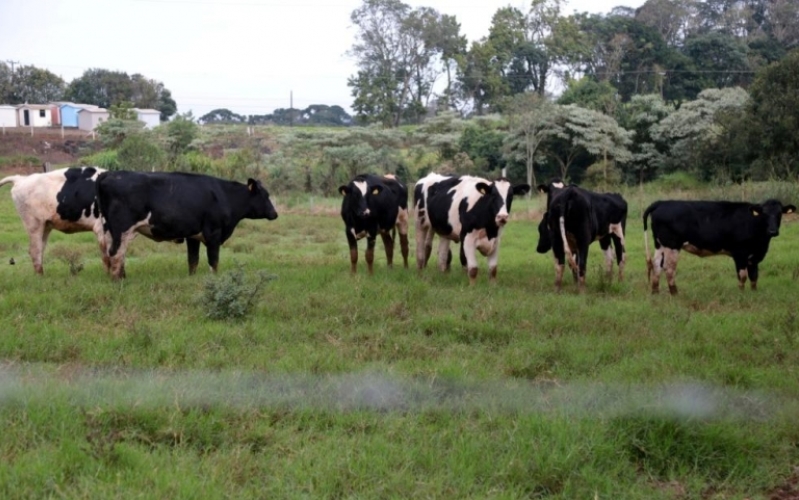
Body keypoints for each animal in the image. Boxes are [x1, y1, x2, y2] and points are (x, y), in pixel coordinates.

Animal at [95, 171, 278, 282]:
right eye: (264, 195)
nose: (275, 213)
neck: (225, 195)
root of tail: (108, 174)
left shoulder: (193, 235)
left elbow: (193, 260)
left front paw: (192, 279)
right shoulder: (214, 233)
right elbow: (213, 260)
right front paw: (215, 280)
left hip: (109, 230)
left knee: (112, 254)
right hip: (122, 230)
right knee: (116, 254)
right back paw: (118, 281)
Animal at [644, 198, 792, 294]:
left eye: (779, 213)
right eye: (764, 214)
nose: (773, 231)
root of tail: (662, 202)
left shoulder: (754, 256)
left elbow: (754, 276)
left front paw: (754, 293)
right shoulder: (740, 254)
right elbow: (743, 275)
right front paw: (742, 294)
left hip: (660, 244)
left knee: (656, 265)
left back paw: (655, 291)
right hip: (672, 245)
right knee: (669, 268)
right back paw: (674, 293)